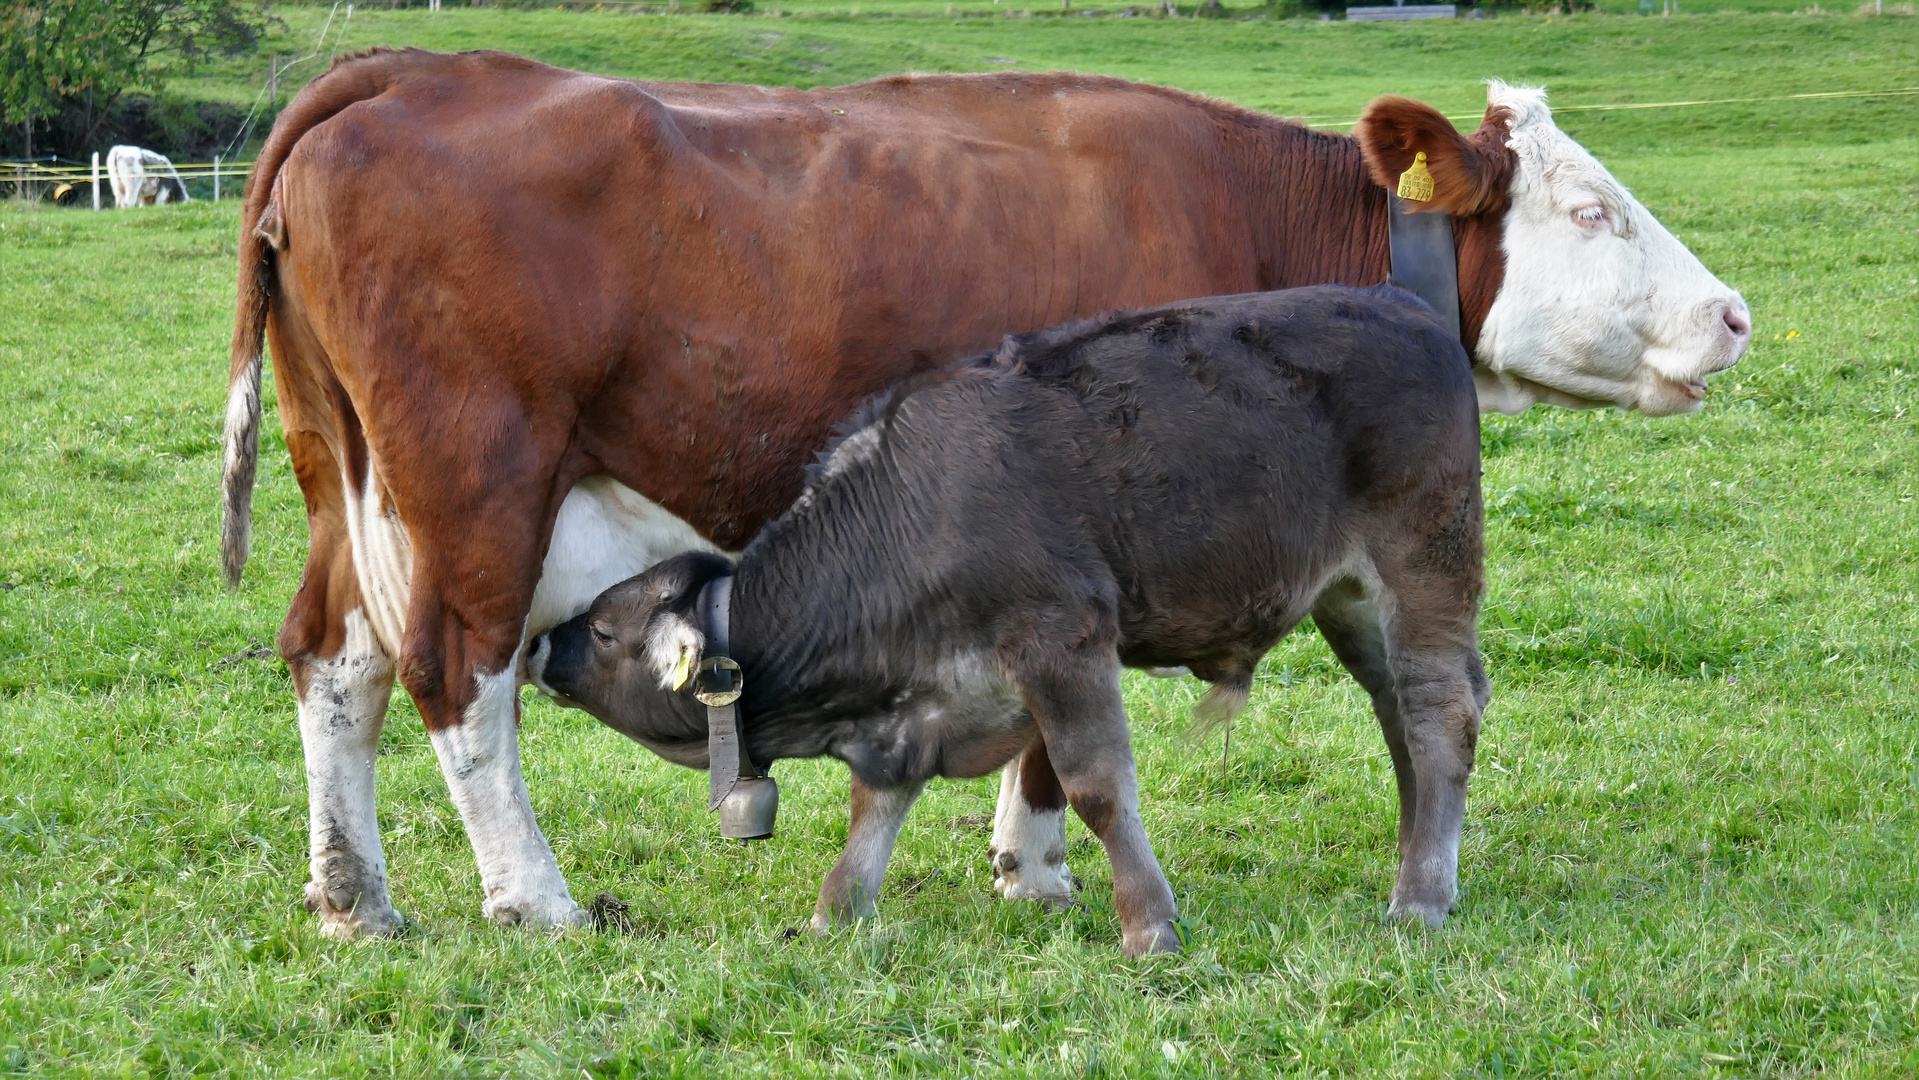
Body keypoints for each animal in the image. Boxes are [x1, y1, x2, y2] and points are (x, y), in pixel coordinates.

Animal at [228, 48, 1757, 939]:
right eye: (1590, 213)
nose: (1732, 316)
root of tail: (416, 74)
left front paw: (1024, 861)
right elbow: (1060, 733)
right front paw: (1040, 864)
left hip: (347, 488)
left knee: (333, 665)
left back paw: (353, 898)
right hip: (480, 487)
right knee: (455, 677)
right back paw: (531, 899)